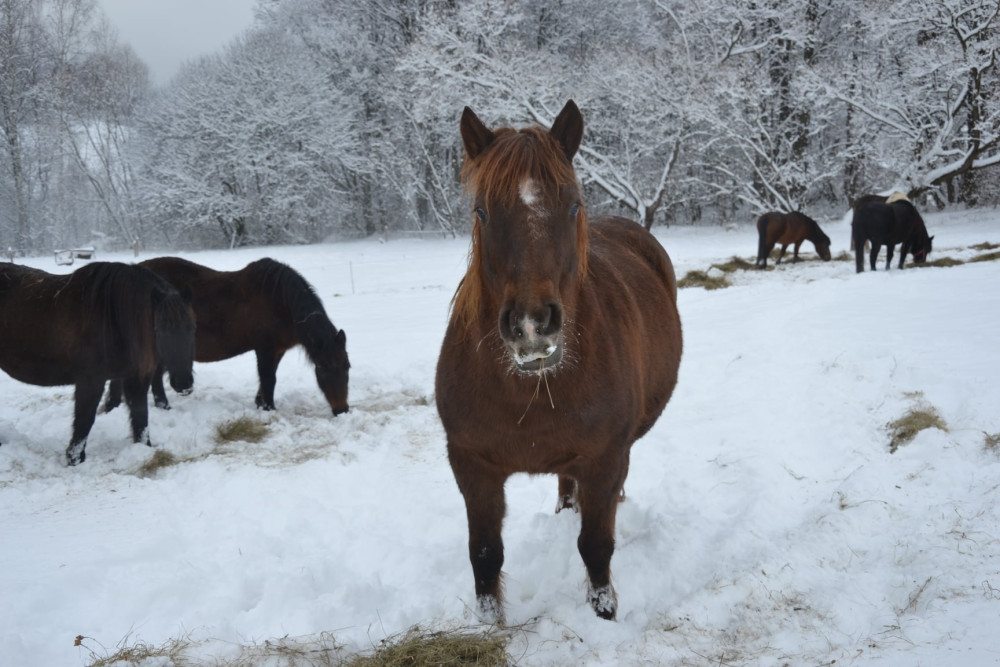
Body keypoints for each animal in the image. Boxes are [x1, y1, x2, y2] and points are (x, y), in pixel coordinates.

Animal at [0, 262, 196, 465]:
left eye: (192, 328)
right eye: (160, 330)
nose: (184, 384)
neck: (113, 321)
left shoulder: (134, 378)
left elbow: (140, 417)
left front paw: (145, 450)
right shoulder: (90, 380)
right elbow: (84, 419)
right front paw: (75, 459)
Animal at [103, 257, 349, 415]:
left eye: (347, 368)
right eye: (323, 370)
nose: (342, 410)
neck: (280, 302)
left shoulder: (276, 350)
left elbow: (267, 378)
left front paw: (260, 402)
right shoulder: (265, 349)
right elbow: (268, 378)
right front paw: (268, 409)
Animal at [435, 100, 683, 623]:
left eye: (573, 205)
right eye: (481, 210)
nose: (532, 324)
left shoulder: (605, 459)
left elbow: (596, 546)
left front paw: (604, 613)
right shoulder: (471, 465)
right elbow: (484, 553)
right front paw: (489, 625)